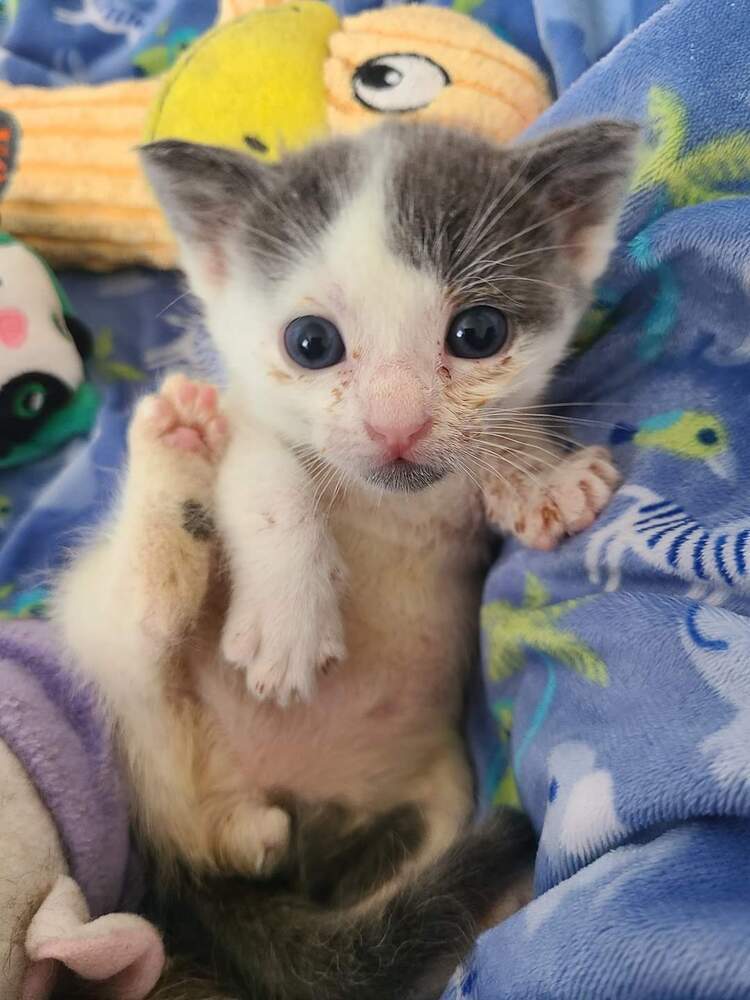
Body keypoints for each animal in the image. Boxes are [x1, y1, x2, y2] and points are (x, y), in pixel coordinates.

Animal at [55, 119, 636, 1000]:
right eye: (311, 344)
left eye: (479, 334)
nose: (397, 425)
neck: (394, 501)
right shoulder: (250, 417)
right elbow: (270, 473)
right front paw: (287, 626)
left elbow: (503, 436)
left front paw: (543, 478)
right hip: (111, 666)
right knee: (142, 626)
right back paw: (172, 455)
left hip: (429, 798)